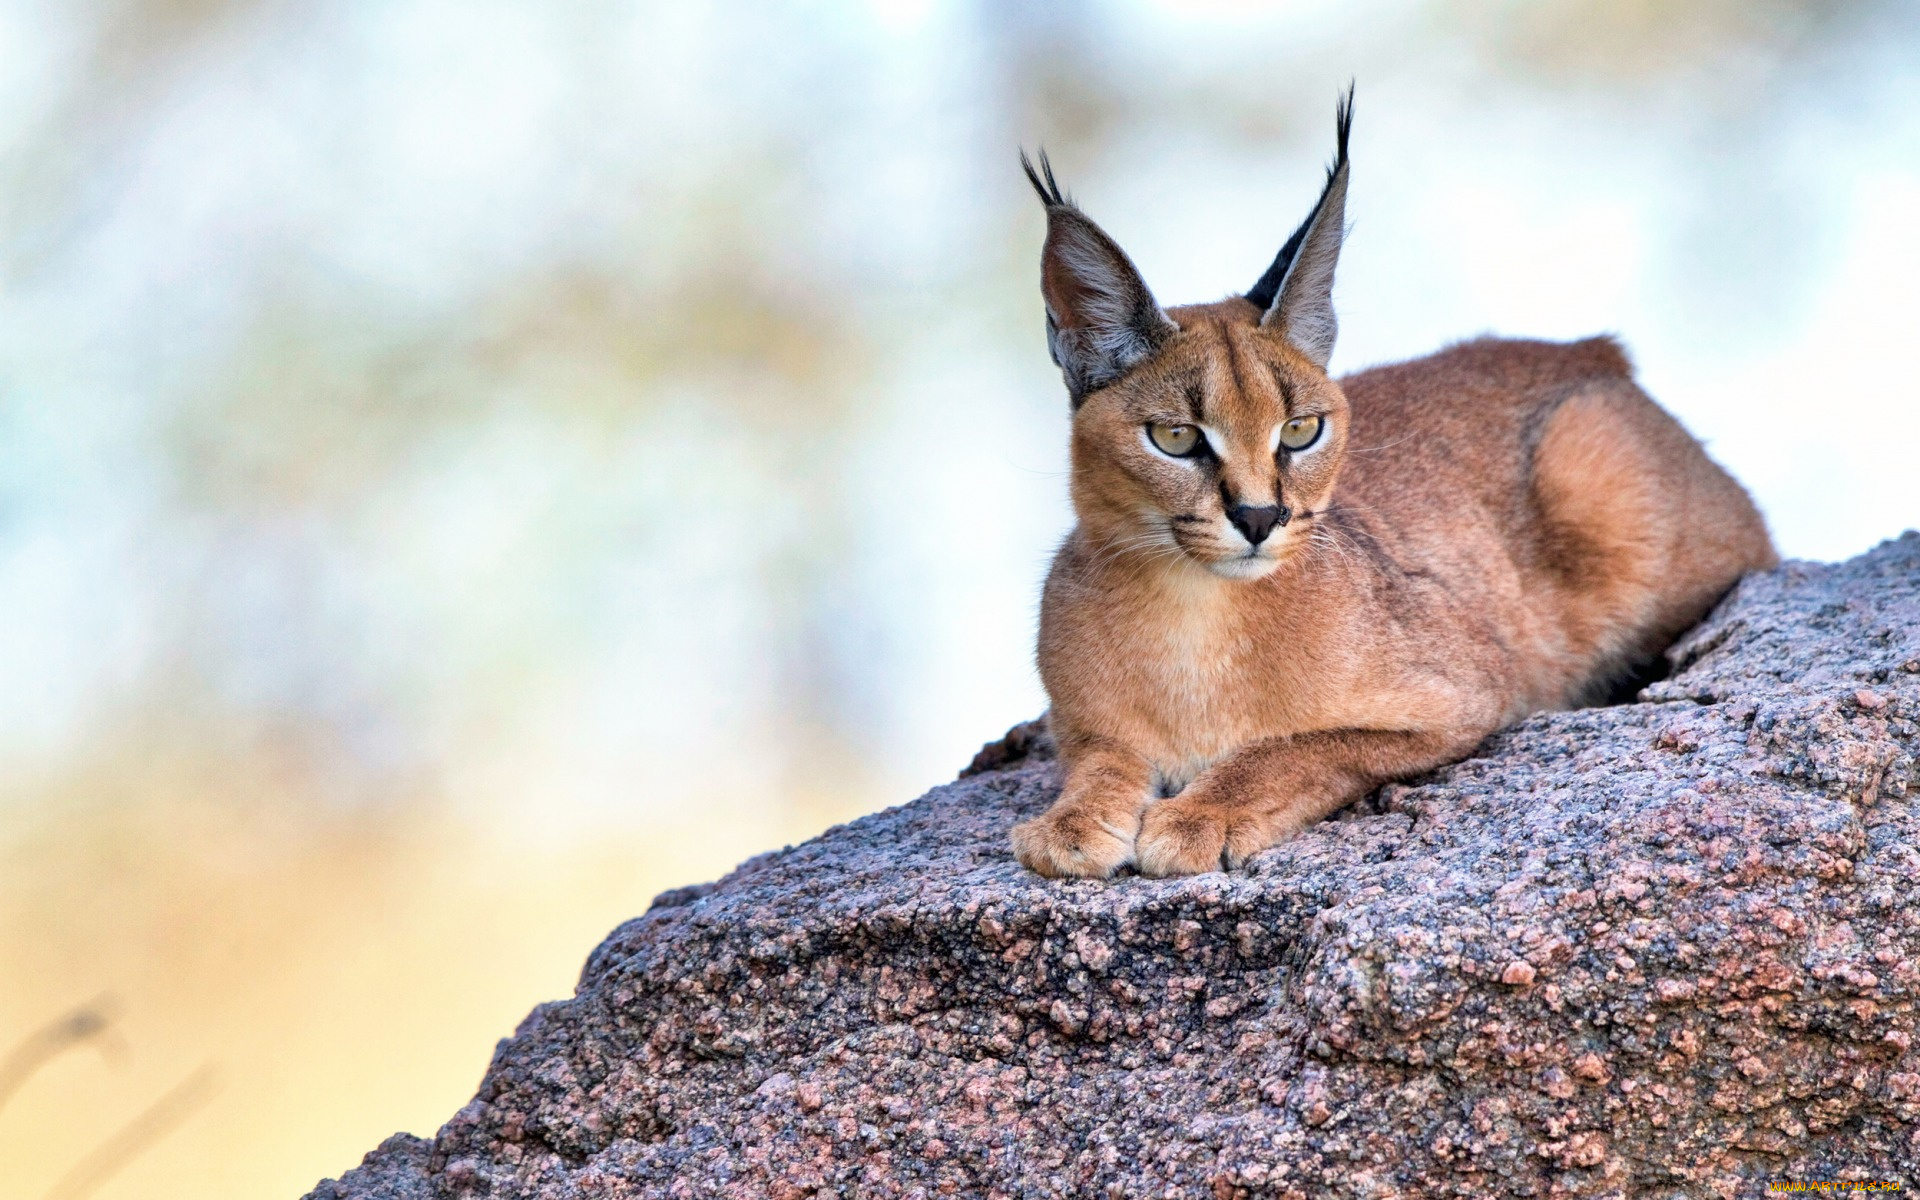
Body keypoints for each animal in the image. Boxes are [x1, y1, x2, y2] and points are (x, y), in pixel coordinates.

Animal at [1013, 93, 1774, 875]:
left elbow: (1303, 748)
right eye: (1174, 438)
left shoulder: (1469, 693)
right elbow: (1101, 757)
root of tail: (1592, 350)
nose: (1258, 517)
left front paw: (1202, 813)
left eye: (1300, 430)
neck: (1195, 614)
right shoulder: (1081, 726)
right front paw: (1073, 818)